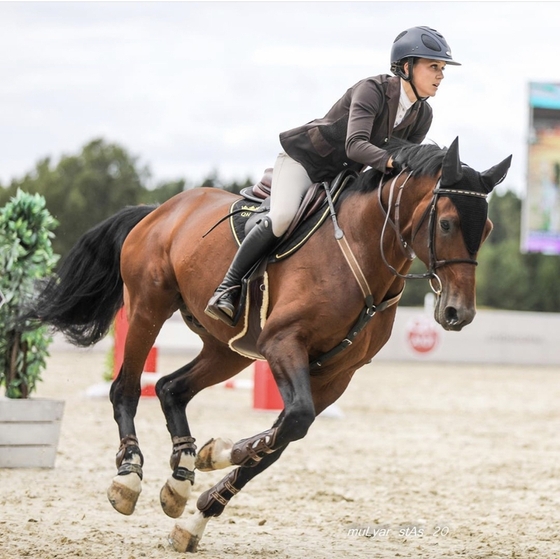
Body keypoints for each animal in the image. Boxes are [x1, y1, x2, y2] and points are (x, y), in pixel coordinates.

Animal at [27, 138, 512, 552]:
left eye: (487, 227)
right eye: (446, 223)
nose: (458, 313)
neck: (362, 249)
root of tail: (161, 210)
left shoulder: (335, 375)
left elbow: (280, 440)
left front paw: (197, 512)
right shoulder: (284, 344)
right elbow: (291, 423)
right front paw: (216, 453)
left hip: (227, 348)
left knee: (170, 388)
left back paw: (180, 479)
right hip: (149, 306)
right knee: (126, 388)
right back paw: (128, 477)